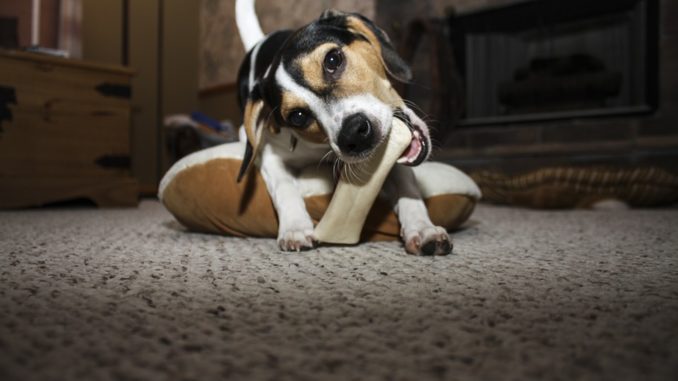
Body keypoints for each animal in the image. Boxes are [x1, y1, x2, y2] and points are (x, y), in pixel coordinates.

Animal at [234, 0, 452, 255]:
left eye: (332, 60)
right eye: (298, 116)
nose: (354, 135)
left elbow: (407, 186)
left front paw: (422, 228)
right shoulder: (270, 154)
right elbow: (284, 187)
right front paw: (295, 227)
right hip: (245, 134)